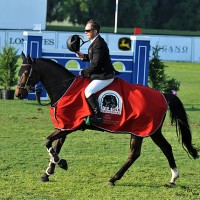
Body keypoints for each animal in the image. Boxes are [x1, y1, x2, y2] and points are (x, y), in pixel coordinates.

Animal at [15, 52, 198, 186]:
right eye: (18, 72)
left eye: (26, 73)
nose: (18, 94)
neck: (65, 88)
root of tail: (163, 95)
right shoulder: (64, 126)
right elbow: (55, 147)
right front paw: (47, 173)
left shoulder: (70, 126)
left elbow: (48, 142)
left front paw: (61, 164)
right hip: (146, 131)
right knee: (156, 150)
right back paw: (171, 179)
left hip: (144, 130)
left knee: (142, 152)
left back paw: (114, 179)